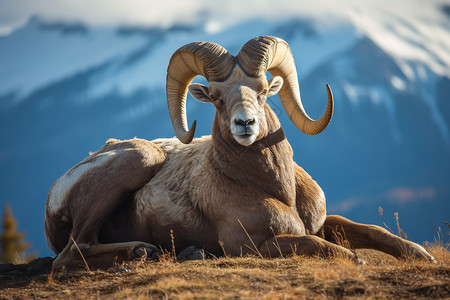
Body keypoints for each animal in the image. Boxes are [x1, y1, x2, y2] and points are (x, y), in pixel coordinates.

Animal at [44, 35, 434, 270]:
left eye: (262, 90)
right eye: (216, 98)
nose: (244, 124)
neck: (278, 190)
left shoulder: (323, 222)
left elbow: (372, 230)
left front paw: (424, 256)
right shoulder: (252, 245)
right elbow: (321, 247)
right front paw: (356, 261)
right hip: (140, 158)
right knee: (71, 253)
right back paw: (144, 251)